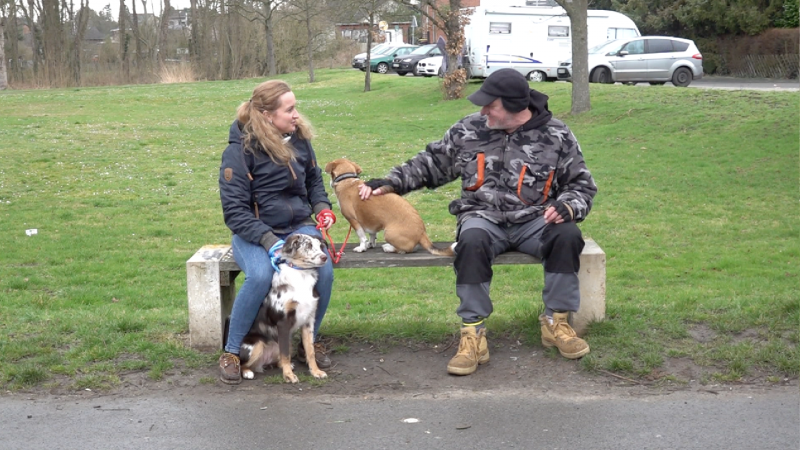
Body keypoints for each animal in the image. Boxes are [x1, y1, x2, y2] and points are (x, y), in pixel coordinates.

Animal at [322, 158, 454, 256]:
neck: (347, 180)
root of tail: (422, 233)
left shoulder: (353, 220)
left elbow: (361, 236)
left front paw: (362, 247)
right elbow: (372, 235)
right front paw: (370, 244)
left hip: (388, 233)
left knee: (404, 250)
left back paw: (388, 247)